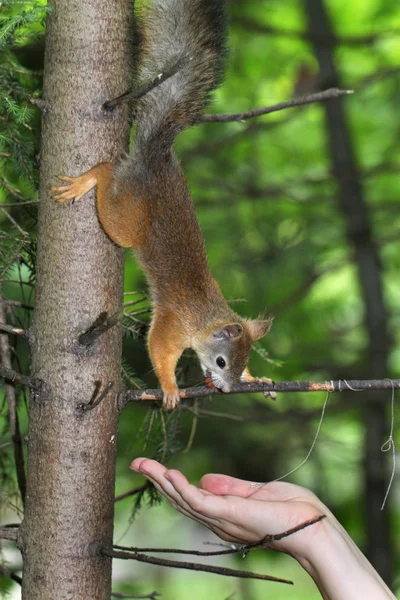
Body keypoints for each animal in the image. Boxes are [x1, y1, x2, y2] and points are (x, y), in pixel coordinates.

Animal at [51, 0, 274, 410]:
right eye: (221, 361)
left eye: (241, 362)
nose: (227, 388)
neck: (205, 318)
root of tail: (155, 156)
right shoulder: (173, 322)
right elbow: (158, 348)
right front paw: (170, 388)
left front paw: (259, 379)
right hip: (127, 217)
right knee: (109, 175)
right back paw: (86, 181)